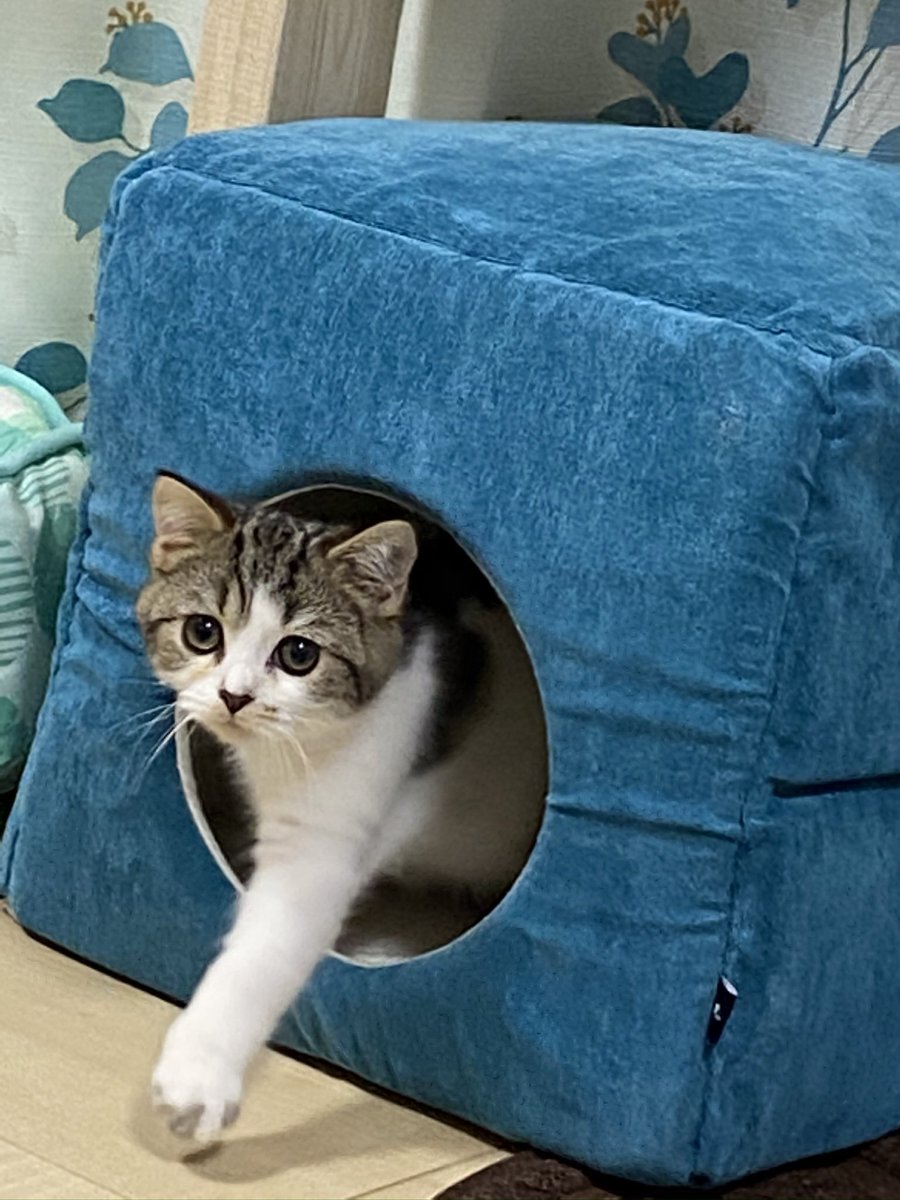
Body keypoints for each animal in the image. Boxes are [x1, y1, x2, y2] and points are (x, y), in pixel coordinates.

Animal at [137, 472, 546, 1139]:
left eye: (299, 654)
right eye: (202, 632)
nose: (233, 696)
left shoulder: (322, 843)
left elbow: (264, 951)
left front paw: (198, 1074)